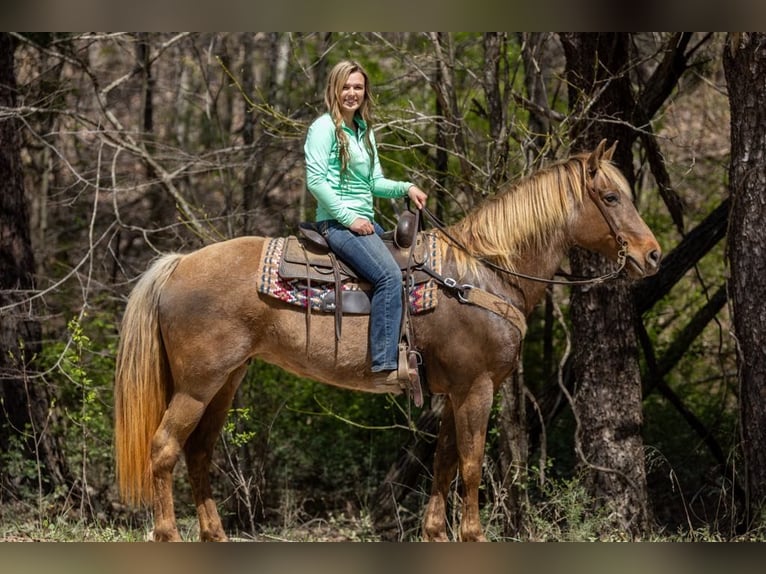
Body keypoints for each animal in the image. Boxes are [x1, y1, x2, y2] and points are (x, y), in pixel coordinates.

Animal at [113, 140, 661, 542]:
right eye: (611, 198)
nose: (653, 255)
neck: (479, 274)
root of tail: (179, 263)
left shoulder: (454, 392)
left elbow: (443, 464)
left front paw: (437, 534)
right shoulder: (477, 388)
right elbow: (471, 466)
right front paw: (474, 536)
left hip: (225, 381)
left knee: (199, 452)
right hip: (197, 384)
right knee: (164, 448)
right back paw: (169, 536)